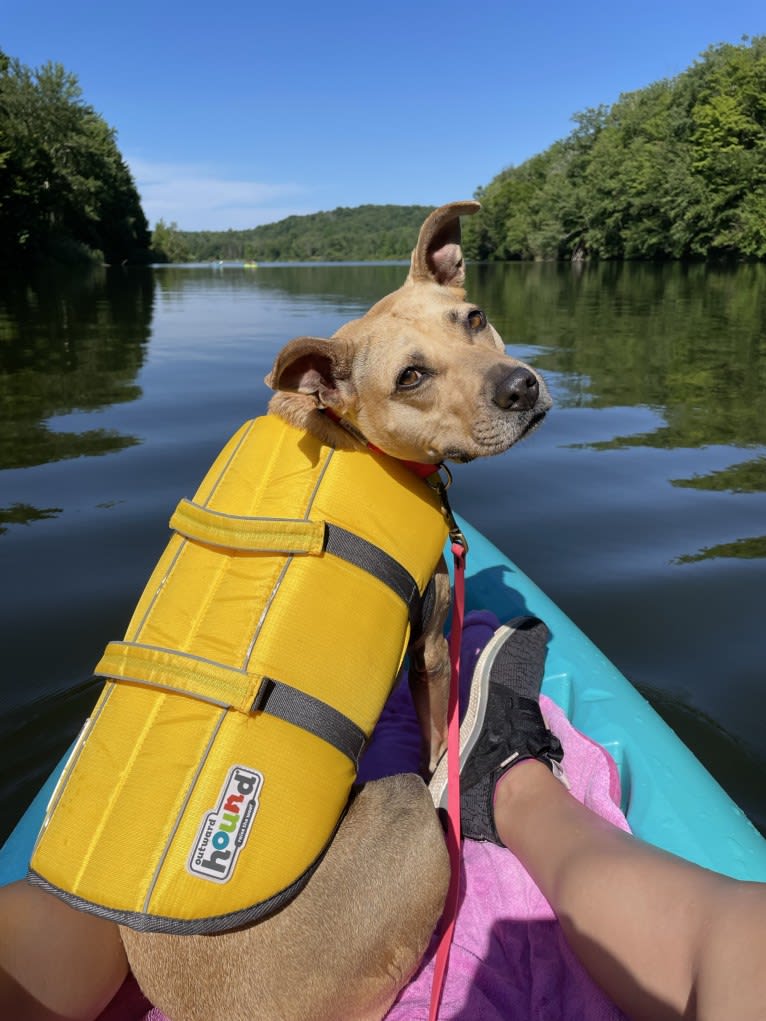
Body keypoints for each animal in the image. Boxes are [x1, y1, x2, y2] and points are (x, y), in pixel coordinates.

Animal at [120, 201, 551, 1021]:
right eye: (411, 376)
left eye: (474, 317)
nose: (521, 385)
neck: (348, 435)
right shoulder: (431, 646)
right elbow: (436, 718)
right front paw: (450, 750)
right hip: (401, 817)